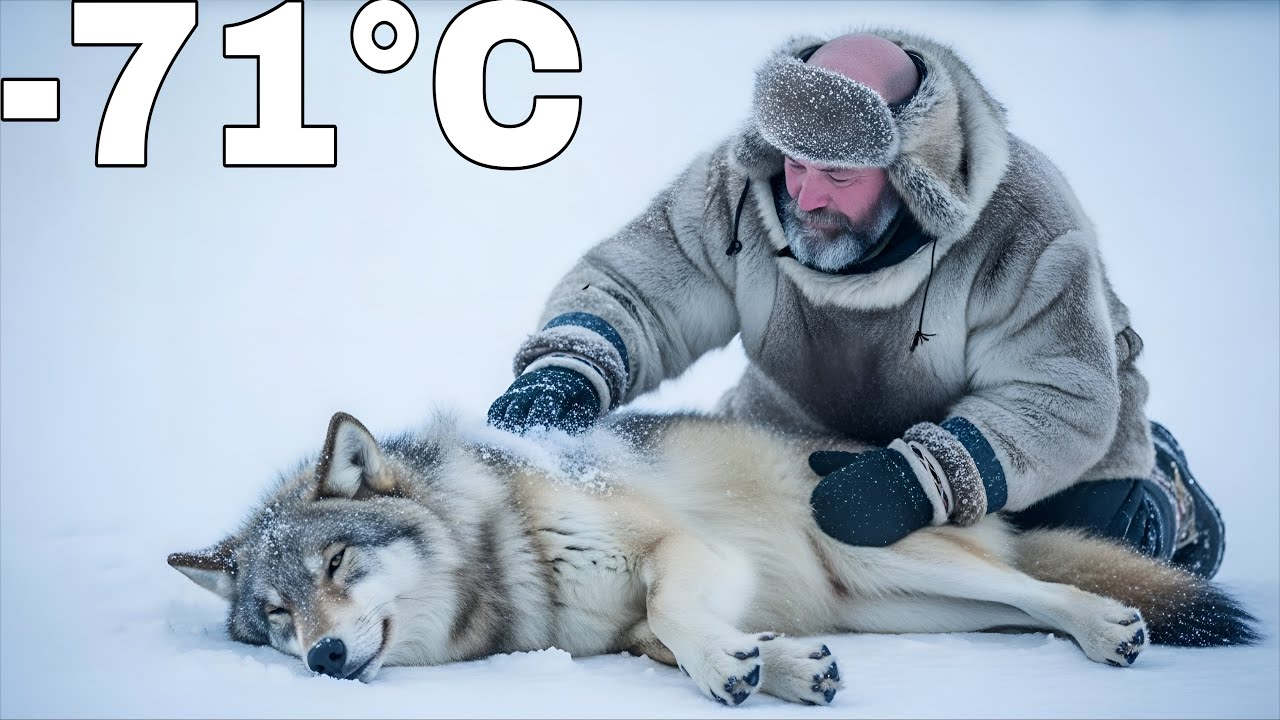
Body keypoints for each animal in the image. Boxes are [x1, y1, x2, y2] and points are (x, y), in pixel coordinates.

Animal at [170, 411, 1258, 706]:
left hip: (873, 549)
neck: (506, 543)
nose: (322, 659)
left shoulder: (680, 549)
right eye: (275, 617)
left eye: (335, 567)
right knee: (1019, 602)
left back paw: (1107, 626)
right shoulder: (634, 625)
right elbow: (673, 635)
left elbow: (671, 607)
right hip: (886, 601)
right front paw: (781, 666)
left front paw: (737, 666)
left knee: (1044, 583)